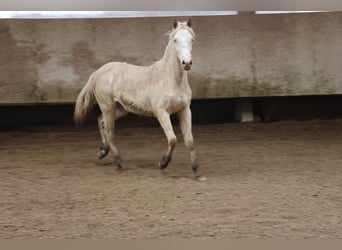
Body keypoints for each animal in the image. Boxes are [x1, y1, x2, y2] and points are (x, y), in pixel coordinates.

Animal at [73, 19, 204, 180]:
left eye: (192, 39)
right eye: (175, 40)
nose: (186, 63)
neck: (170, 79)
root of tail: (98, 72)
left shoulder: (184, 110)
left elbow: (189, 140)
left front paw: (197, 170)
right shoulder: (161, 112)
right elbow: (173, 139)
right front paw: (163, 163)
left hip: (120, 108)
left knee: (101, 121)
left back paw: (103, 151)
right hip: (107, 106)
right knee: (110, 133)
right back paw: (119, 163)